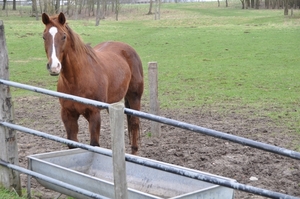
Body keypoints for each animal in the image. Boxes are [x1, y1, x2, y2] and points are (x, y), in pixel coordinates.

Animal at [41, 12, 144, 155]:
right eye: (44, 37)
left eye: (64, 36)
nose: (54, 67)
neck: (77, 80)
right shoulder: (68, 114)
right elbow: (73, 144)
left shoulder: (94, 114)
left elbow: (94, 145)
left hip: (134, 97)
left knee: (134, 123)